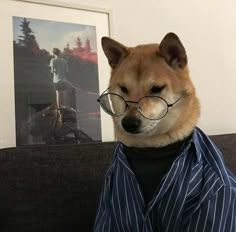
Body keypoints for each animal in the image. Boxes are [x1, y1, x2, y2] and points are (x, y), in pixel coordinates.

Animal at [94, 32, 236, 232]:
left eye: (156, 89)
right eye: (123, 89)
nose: (129, 123)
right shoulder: (114, 201)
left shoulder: (214, 195)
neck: (150, 150)